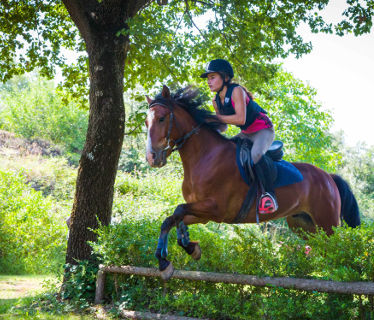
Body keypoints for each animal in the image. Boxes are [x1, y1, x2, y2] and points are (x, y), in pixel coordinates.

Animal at [145, 85, 360, 280]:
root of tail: (329, 177)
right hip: (304, 225)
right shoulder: (203, 214)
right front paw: (178, 254)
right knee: (324, 250)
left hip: (328, 224)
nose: (152, 158)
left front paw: (171, 256)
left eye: (162, 118)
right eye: (146, 122)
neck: (204, 156)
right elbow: (171, 219)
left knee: (340, 248)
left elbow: (178, 210)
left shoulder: (216, 208)